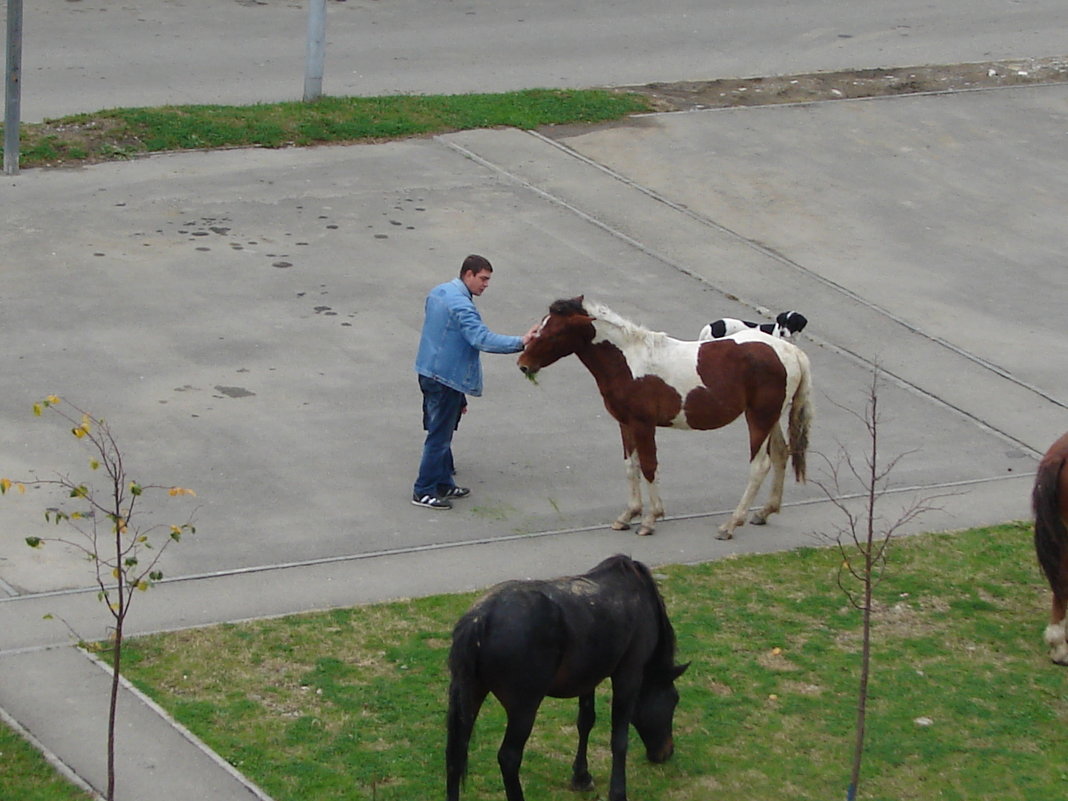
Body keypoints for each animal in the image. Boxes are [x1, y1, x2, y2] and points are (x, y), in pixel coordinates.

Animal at [446, 555, 687, 801]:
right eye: (673, 700)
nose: (666, 752)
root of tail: (480, 620)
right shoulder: (629, 673)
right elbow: (619, 739)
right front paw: (618, 792)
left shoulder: (588, 677)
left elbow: (585, 721)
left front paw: (581, 776)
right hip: (523, 708)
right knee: (509, 758)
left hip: (471, 695)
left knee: (456, 753)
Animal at [514, 299, 807, 540]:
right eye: (539, 327)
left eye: (555, 333)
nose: (523, 364)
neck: (628, 361)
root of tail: (790, 352)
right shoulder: (626, 424)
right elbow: (631, 466)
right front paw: (628, 515)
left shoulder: (644, 425)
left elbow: (648, 466)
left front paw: (649, 520)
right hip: (771, 418)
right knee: (781, 454)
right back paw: (764, 512)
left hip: (759, 419)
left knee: (760, 466)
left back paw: (730, 525)